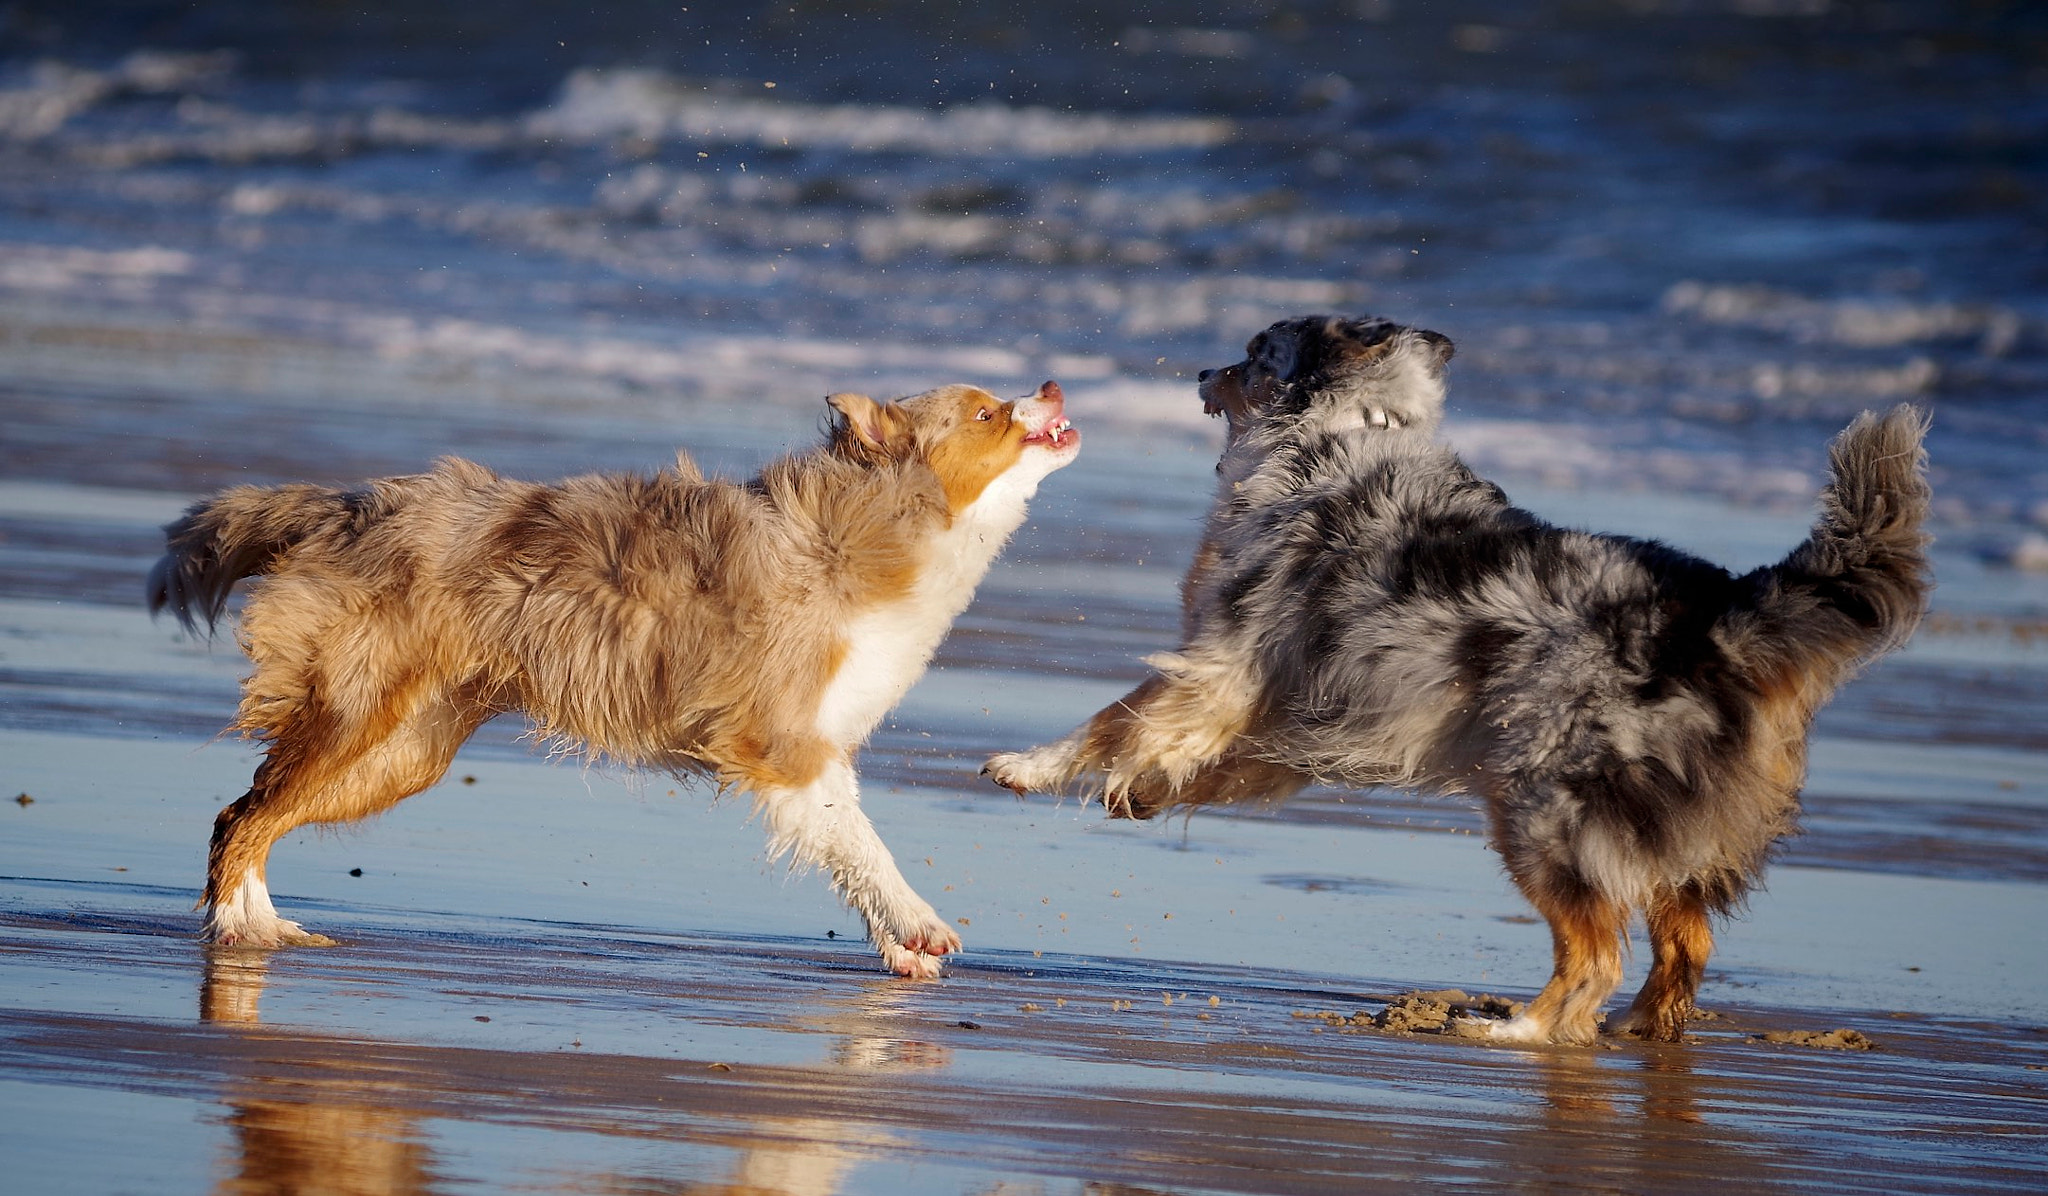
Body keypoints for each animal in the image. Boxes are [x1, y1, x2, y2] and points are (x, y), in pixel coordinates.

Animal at [151, 378, 1081, 974]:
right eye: (987, 410)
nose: (1055, 383)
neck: (867, 528)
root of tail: (350, 507)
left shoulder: (818, 743)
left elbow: (845, 846)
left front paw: (898, 945)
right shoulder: (780, 741)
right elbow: (861, 840)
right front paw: (920, 923)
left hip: (406, 751)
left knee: (250, 810)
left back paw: (261, 922)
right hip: (362, 715)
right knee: (245, 816)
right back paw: (242, 927)